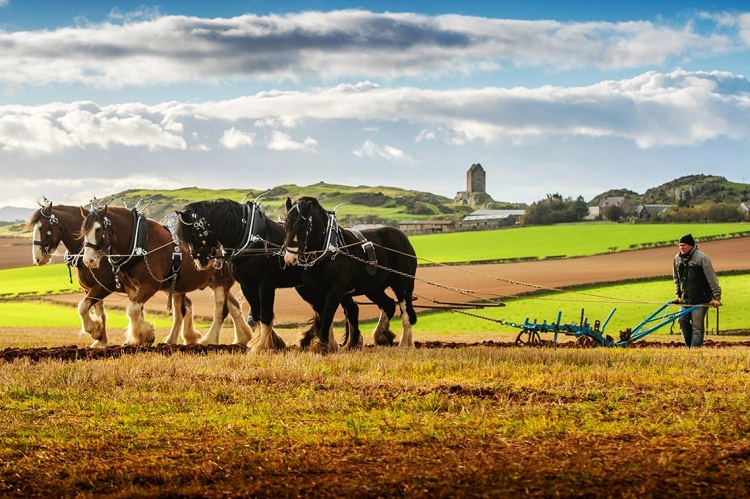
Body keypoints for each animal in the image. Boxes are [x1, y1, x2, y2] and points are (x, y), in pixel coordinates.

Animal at [27, 203, 203, 348]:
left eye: (42, 228)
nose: (37, 259)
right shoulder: (91, 288)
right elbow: (98, 312)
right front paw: (101, 338)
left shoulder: (105, 285)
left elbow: (83, 307)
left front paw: (98, 332)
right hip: (169, 285)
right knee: (185, 305)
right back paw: (188, 338)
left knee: (181, 309)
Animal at [81, 205, 253, 346]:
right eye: (83, 231)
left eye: (98, 229)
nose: (88, 260)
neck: (140, 242)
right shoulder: (131, 288)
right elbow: (85, 306)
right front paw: (99, 331)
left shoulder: (150, 285)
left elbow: (132, 310)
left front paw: (143, 335)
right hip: (210, 283)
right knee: (231, 307)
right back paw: (242, 338)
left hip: (221, 282)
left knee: (220, 311)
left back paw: (209, 340)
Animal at [174, 198, 368, 352]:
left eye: (194, 233)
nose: (200, 262)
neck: (250, 238)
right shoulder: (248, 286)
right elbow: (257, 314)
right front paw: (271, 341)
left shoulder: (265, 284)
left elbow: (266, 313)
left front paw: (264, 345)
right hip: (311, 288)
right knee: (341, 309)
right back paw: (340, 343)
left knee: (339, 309)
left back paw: (343, 343)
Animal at [284, 195, 420, 352]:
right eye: (286, 225)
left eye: (304, 226)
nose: (290, 258)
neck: (328, 248)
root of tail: (403, 238)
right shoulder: (314, 293)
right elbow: (321, 319)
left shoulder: (336, 289)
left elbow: (326, 316)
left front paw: (322, 347)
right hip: (373, 288)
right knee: (388, 305)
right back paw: (381, 336)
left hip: (403, 284)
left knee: (406, 313)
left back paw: (405, 344)